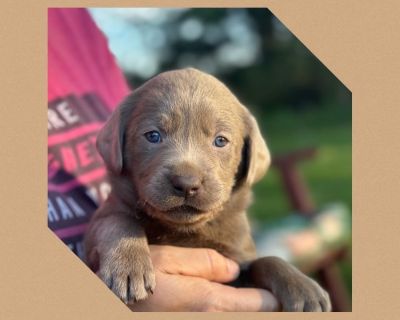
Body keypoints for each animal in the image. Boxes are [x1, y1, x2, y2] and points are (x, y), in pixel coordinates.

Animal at [84, 67, 332, 310]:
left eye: (220, 141)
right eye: (153, 136)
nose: (186, 183)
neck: (184, 230)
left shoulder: (238, 259)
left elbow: (266, 261)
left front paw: (303, 287)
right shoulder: (100, 226)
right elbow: (117, 222)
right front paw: (127, 267)